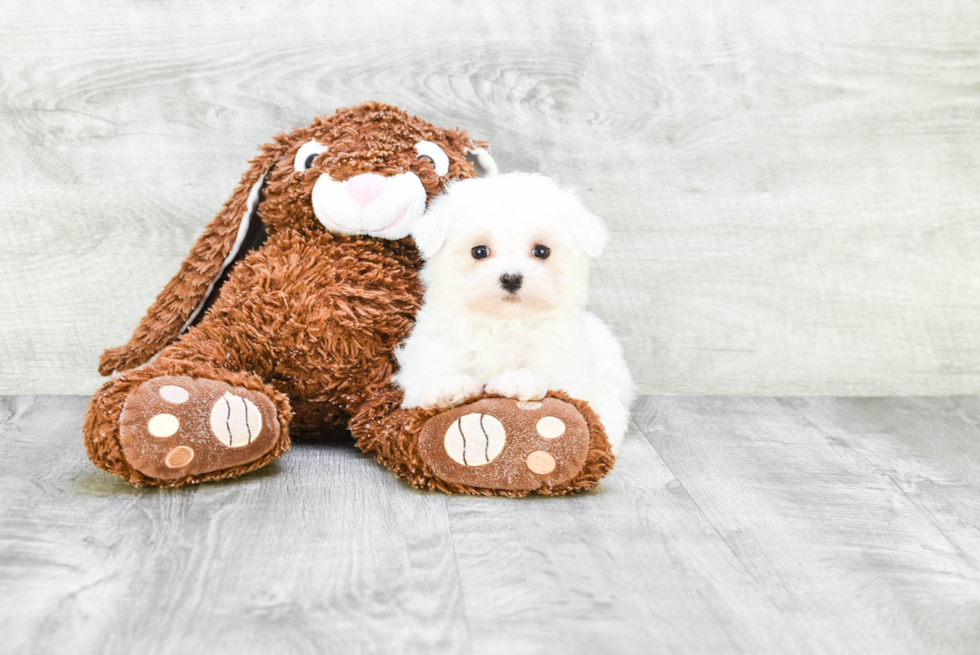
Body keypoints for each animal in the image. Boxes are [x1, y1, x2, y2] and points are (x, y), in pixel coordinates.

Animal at [396, 172, 636, 454]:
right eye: (479, 251)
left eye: (541, 251)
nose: (511, 278)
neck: (504, 322)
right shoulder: (434, 351)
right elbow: (426, 380)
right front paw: (449, 386)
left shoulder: (567, 367)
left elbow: (555, 383)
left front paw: (517, 381)